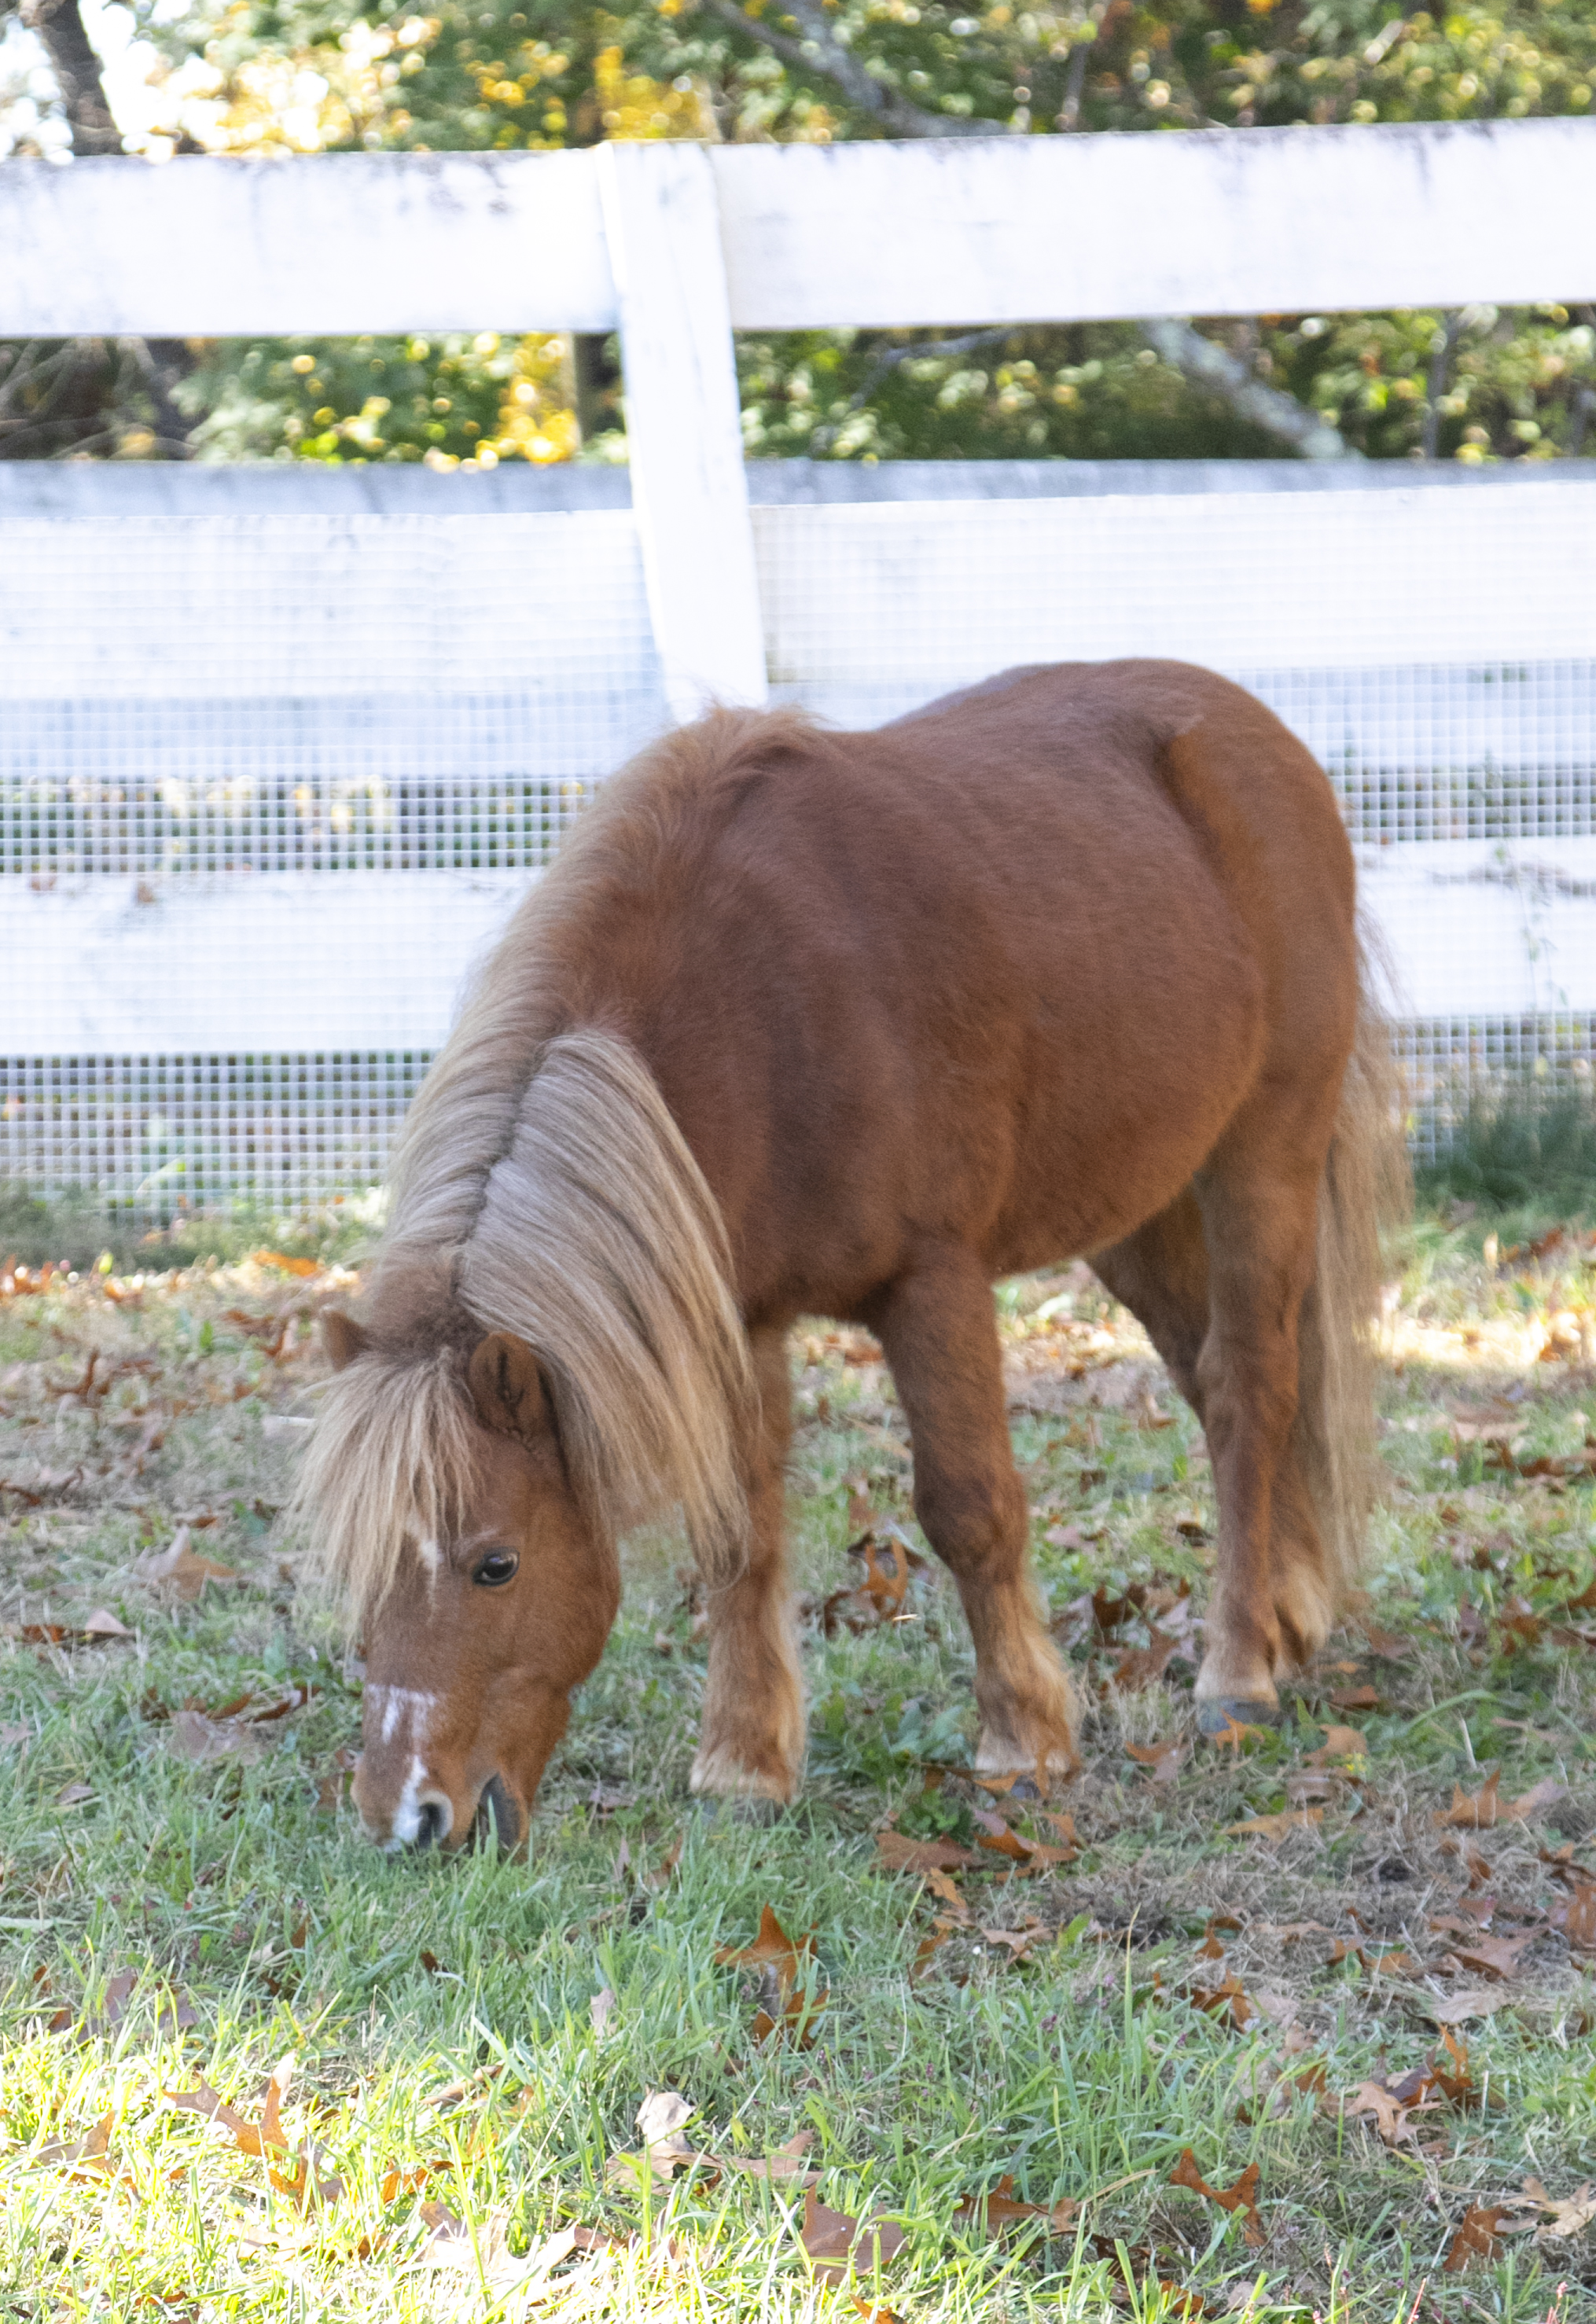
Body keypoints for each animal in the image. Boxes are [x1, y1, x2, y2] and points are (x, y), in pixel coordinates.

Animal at [296, 660, 1393, 1849]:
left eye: (494, 1563)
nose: (406, 1815)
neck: (761, 1012)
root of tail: (1253, 730)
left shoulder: (932, 1285)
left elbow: (968, 1508)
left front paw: (1022, 1740)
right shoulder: (737, 1317)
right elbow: (737, 1536)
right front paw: (743, 1765)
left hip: (1261, 1159)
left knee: (1251, 1393)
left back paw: (1237, 1675)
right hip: (1133, 1215)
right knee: (1212, 1381)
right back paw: (1287, 1613)